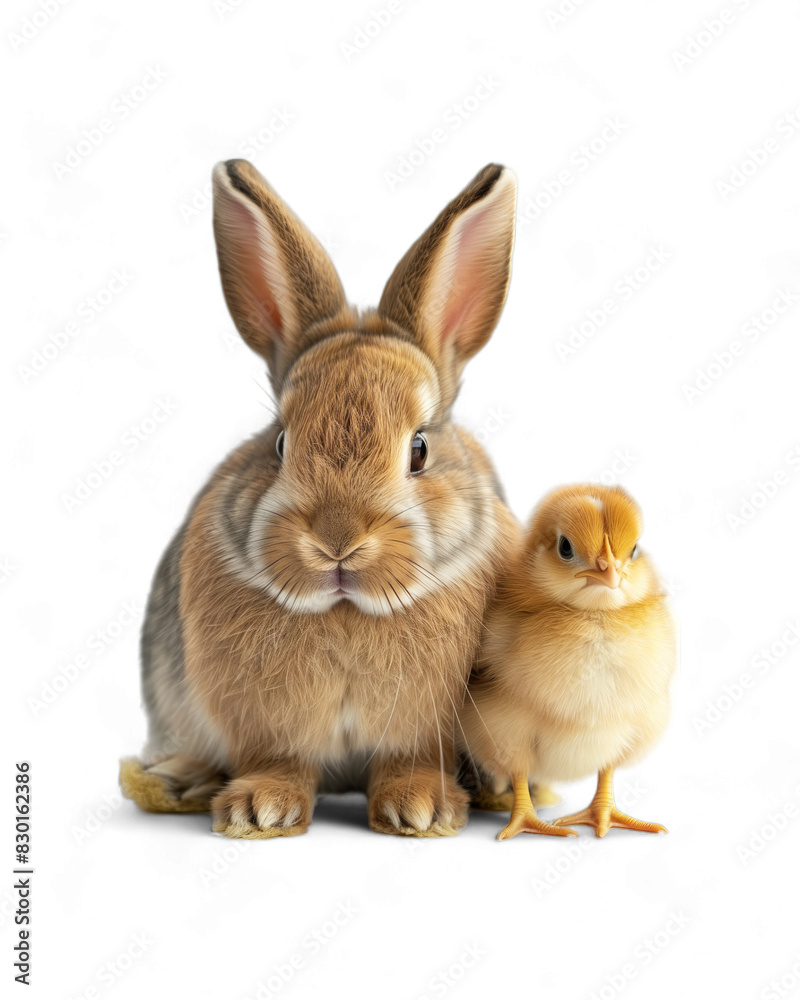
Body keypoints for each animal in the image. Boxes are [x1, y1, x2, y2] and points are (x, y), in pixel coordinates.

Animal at [119, 159, 522, 838]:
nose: (338, 541)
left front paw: (422, 810)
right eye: (280, 442)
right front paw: (260, 811)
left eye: (419, 449)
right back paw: (177, 779)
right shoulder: (262, 723)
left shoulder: (424, 729)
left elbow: (410, 759)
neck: (346, 611)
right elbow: (278, 761)